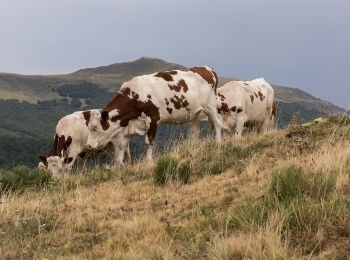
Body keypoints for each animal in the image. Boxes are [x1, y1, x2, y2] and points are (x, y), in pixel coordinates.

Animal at [86, 66, 223, 162]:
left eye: (95, 128)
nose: (89, 146)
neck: (136, 95)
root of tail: (207, 69)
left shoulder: (153, 118)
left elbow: (149, 141)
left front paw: (149, 161)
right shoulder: (128, 125)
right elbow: (121, 147)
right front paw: (119, 168)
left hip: (210, 106)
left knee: (217, 123)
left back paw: (218, 144)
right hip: (193, 114)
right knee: (195, 132)